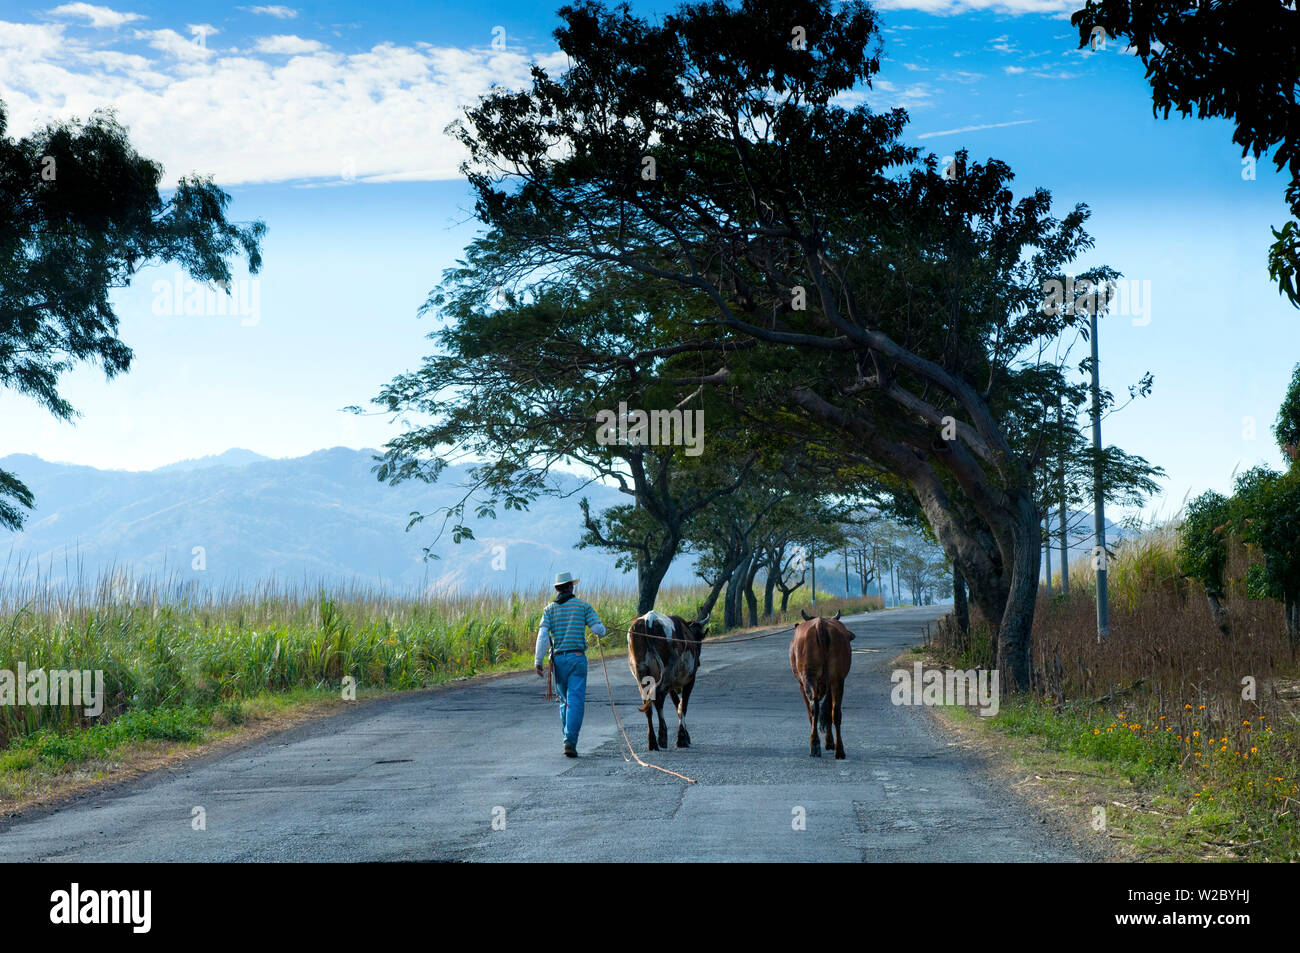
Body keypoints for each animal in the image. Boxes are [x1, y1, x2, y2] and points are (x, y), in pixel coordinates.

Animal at [624, 608, 707, 748]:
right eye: (699, 640)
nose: (699, 662)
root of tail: (649, 619)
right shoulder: (689, 680)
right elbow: (682, 706)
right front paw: (683, 737)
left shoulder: (673, 684)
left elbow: (677, 705)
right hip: (666, 675)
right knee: (659, 699)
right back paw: (663, 737)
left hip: (641, 673)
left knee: (648, 704)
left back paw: (652, 742)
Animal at [790, 608, 852, 759]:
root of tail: (820, 623)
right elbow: (826, 710)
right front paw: (828, 741)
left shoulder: (801, 685)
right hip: (836, 679)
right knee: (833, 711)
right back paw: (835, 749)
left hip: (813, 677)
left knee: (815, 707)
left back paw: (819, 745)